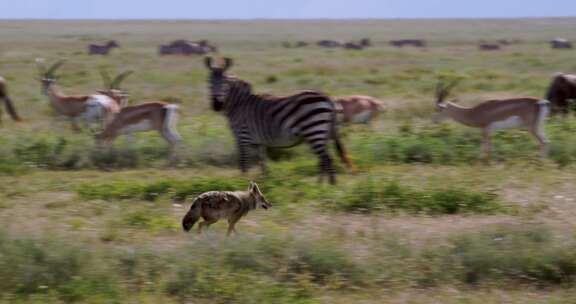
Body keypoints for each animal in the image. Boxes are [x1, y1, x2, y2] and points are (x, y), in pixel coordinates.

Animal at [202, 57, 356, 185]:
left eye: (225, 83)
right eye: (208, 81)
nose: (216, 105)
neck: (239, 104)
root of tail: (327, 97)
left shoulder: (242, 137)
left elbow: (243, 162)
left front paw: (242, 181)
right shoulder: (258, 142)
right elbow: (262, 161)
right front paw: (265, 180)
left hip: (314, 130)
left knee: (327, 158)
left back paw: (330, 186)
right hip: (323, 133)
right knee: (324, 159)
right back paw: (321, 184)